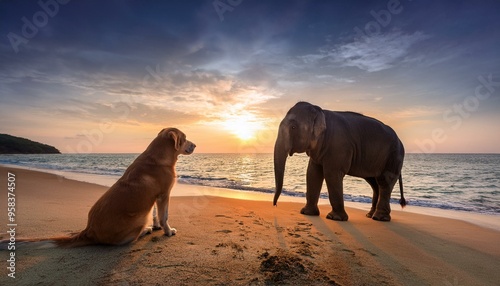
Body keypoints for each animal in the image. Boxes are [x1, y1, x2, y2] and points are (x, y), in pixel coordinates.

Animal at [4, 128, 195, 248]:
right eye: (184, 138)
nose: (195, 145)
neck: (160, 156)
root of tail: (89, 231)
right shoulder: (164, 195)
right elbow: (164, 216)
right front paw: (168, 231)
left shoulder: (156, 197)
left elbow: (157, 214)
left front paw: (157, 227)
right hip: (140, 216)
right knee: (129, 238)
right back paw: (145, 230)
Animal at [274, 101, 406, 222]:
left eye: (293, 127)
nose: (275, 204)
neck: (321, 112)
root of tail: (400, 141)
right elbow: (312, 173)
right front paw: (307, 213)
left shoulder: (338, 146)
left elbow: (331, 174)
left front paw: (335, 218)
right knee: (374, 183)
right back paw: (370, 215)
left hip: (394, 156)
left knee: (384, 181)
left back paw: (379, 218)